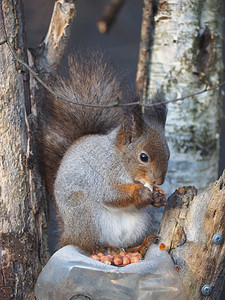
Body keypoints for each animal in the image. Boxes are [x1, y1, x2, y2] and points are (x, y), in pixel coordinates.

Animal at [37, 54, 170, 253]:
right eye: (143, 157)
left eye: (169, 154)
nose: (159, 181)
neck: (119, 160)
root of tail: (68, 233)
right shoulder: (100, 174)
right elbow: (110, 193)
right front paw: (140, 192)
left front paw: (160, 197)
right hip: (86, 215)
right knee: (86, 244)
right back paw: (102, 249)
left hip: (142, 222)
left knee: (128, 245)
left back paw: (140, 246)